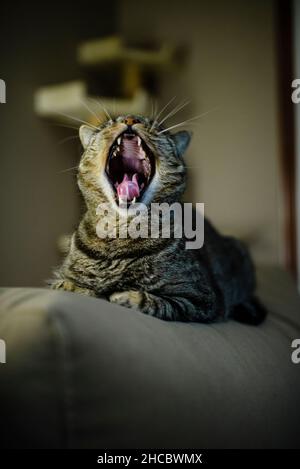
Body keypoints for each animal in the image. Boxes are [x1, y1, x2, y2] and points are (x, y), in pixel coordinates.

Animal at [50, 114, 266, 324]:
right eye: (109, 123)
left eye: (155, 126)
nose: (130, 119)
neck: (122, 229)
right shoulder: (60, 278)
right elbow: (65, 284)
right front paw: (80, 289)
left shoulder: (201, 299)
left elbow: (159, 303)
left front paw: (124, 296)